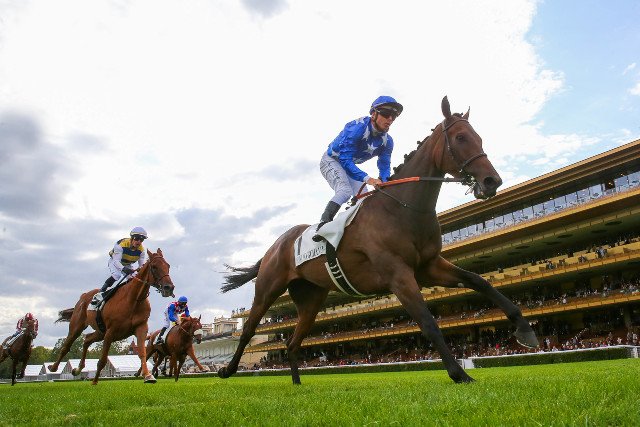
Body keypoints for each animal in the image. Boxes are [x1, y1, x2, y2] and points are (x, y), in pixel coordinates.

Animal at [47, 248, 175, 385]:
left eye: (168, 266)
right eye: (154, 267)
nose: (169, 287)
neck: (133, 299)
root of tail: (84, 295)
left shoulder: (141, 328)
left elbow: (142, 353)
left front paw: (148, 376)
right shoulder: (110, 332)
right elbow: (102, 360)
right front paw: (94, 382)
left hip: (100, 331)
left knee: (87, 339)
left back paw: (77, 369)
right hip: (78, 326)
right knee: (66, 345)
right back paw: (53, 367)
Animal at [219, 96, 538, 385]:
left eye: (479, 137)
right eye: (461, 137)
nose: (491, 181)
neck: (402, 209)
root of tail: (274, 246)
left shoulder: (429, 266)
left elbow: (480, 281)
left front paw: (525, 330)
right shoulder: (399, 275)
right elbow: (429, 323)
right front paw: (459, 374)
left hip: (311, 299)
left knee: (292, 343)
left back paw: (297, 384)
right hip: (268, 288)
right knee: (248, 330)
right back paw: (227, 370)